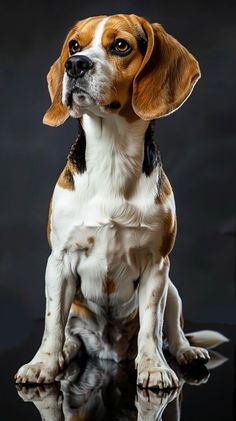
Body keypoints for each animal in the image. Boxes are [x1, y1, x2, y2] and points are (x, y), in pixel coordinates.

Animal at [14, 12, 225, 388]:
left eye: (121, 46)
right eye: (74, 45)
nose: (75, 65)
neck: (111, 155)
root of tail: (110, 351)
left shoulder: (157, 265)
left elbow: (151, 326)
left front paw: (154, 366)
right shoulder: (59, 262)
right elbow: (52, 324)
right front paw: (43, 364)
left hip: (172, 289)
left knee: (171, 329)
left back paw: (185, 351)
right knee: (70, 334)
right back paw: (67, 352)